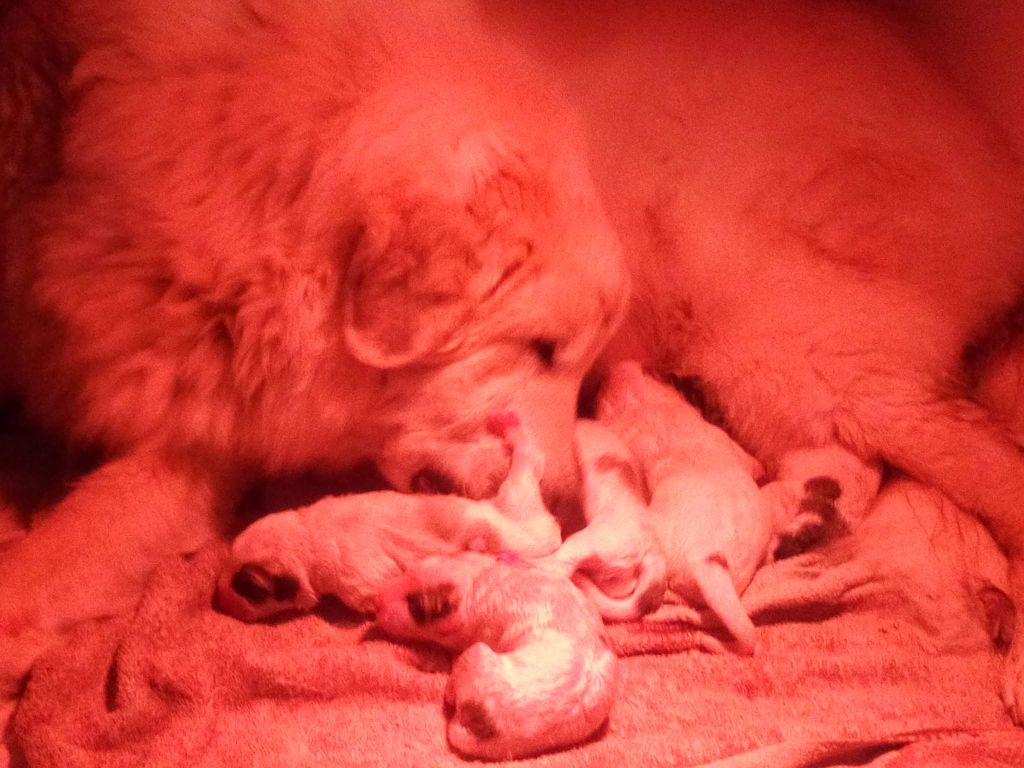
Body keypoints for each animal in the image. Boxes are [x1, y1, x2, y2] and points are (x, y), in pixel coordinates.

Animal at [215, 415, 561, 618]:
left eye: (248, 590)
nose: (220, 600)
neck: (305, 537)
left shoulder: (361, 583)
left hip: (527, 528)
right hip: (516, 496)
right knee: (528, 464)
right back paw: (510, 424)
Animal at [376, 552, 614, 765]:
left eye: (416, 607)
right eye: (406, 571)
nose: (376, 602)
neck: (477, 578)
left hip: (476, 653)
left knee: (452, 689)